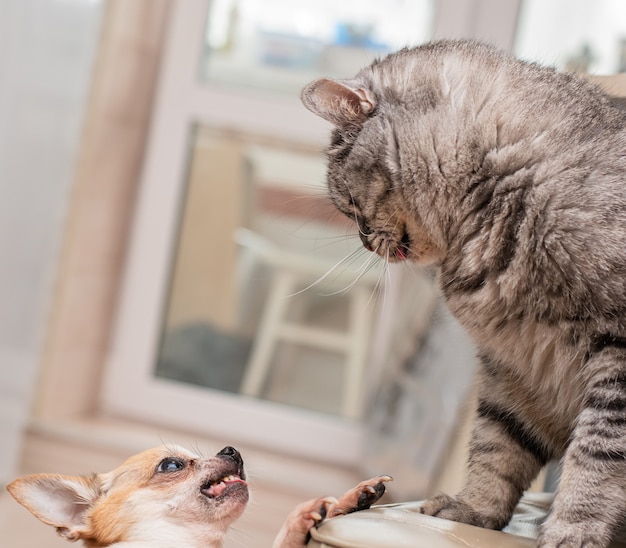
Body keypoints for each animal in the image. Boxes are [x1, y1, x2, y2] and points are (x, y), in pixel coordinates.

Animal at [300, 39, 624, 548]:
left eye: (349, 206)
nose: (365, 240)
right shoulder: (511, 371)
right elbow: (497, 448)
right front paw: (473, 510)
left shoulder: (614, 360)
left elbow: (597, 460)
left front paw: (573, 531)